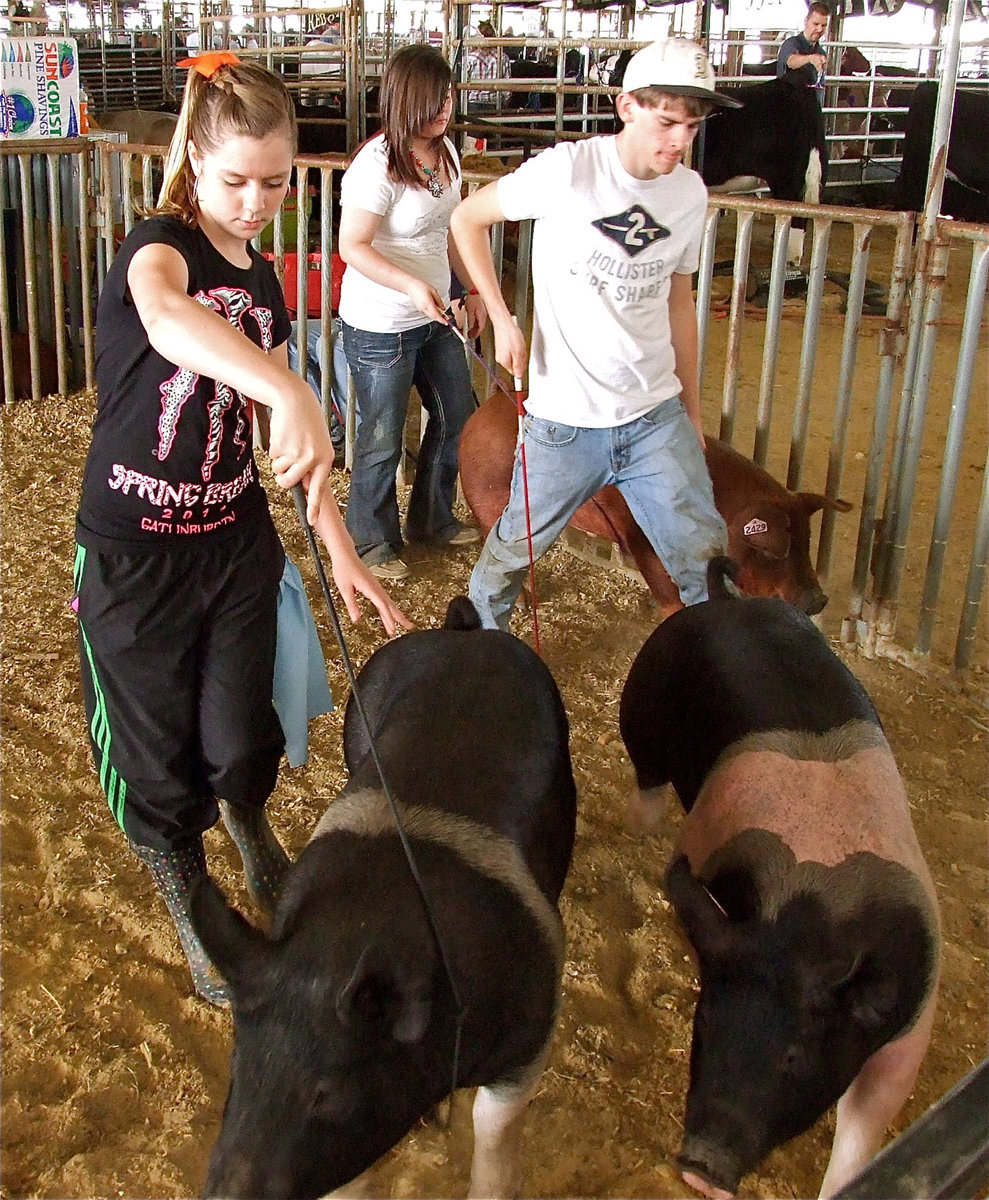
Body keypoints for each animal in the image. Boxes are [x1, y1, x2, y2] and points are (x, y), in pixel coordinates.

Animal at [189, 595, 576, 1195]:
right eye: (239, 1071)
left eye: (327, 1095)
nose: (224, 1190)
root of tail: (464, 633)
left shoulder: (536, 1023)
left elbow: (494, 1128)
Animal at [624, 556, 940, 1195]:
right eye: (704, 1027)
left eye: (792, 1057)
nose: (700, 1168)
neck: (814, 914)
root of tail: (725, 600)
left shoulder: (913, 1017)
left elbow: (866, 1118)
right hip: (641, 703)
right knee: (647, 778)